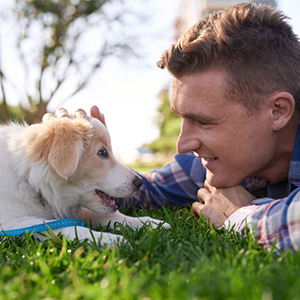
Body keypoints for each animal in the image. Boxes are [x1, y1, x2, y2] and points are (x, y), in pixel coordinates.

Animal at [0, 109, 169, 247]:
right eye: (102, 152)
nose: (139, 182)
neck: (28, 177)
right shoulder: (11, 223)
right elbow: (63, 226)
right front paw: (111, 239)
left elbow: (113, 215)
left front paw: (150, 223)